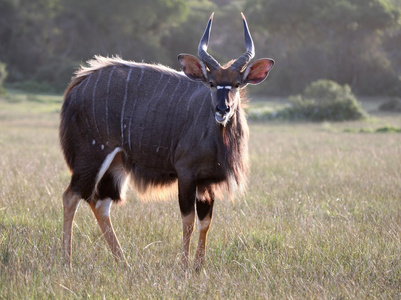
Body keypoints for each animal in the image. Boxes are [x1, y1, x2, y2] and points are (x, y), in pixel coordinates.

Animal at [61, 12, 274, 270]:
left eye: (236, 84)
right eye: (211, 83)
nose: (222, 109)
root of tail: (76, 86)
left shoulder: (206, 181)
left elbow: (205, 221)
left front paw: (199, 267)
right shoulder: (186, 173)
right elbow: (188, 219)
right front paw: (184, 266)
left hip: (115, 163)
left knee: (99, 202)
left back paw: (124, 262)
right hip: (92, 155)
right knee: (71, 196)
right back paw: (66, 261)